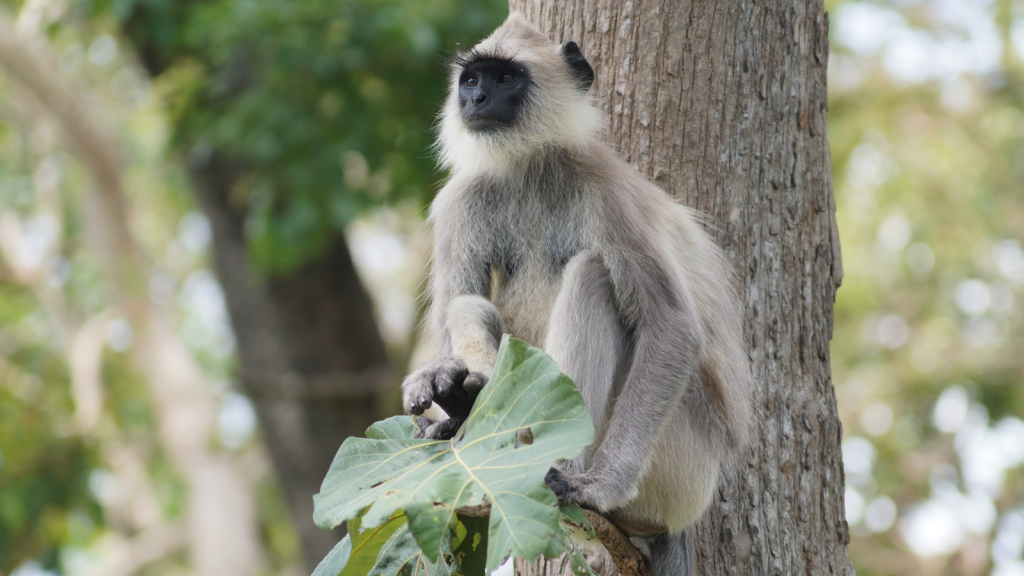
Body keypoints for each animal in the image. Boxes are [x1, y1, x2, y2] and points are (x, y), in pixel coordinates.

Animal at [399, 13, 753, 573]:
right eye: (471, 79)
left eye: (505, 79)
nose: (476, 100)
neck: (530, 167)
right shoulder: (462, 197)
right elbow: (455, 306)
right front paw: (443, 383)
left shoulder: (610, 193)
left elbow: (671, 327)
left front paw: (597, 487)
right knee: (467, 303)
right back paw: (463, 407)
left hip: (680, 468)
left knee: (594, 275)